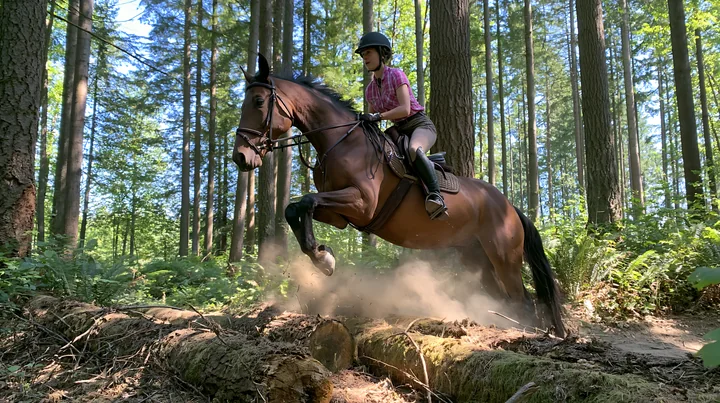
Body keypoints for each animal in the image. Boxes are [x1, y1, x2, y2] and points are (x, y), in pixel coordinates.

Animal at [233, 54, 565, 337]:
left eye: (259, 101)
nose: (240, 157)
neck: (342, 142)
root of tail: (509, 206)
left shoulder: (361, 204)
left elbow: (307, 201)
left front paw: (322, 257)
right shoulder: (341, 215)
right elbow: (295, 207)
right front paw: (322, 256)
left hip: (504, 255)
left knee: (523, 299)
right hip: (476, 257)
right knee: (502, 296)